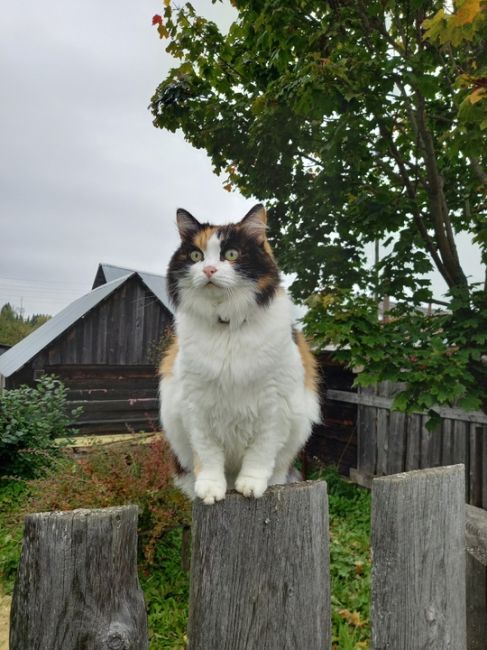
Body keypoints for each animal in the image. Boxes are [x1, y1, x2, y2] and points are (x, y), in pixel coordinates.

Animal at [159, 205, 320, 504]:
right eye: (196, 256)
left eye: (231, 254)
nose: (209, 269)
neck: (228, 327)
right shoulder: (196, 404)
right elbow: (208, 454)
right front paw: (211, 489)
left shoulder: (274, 404)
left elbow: (260, 453)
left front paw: (251, 486)